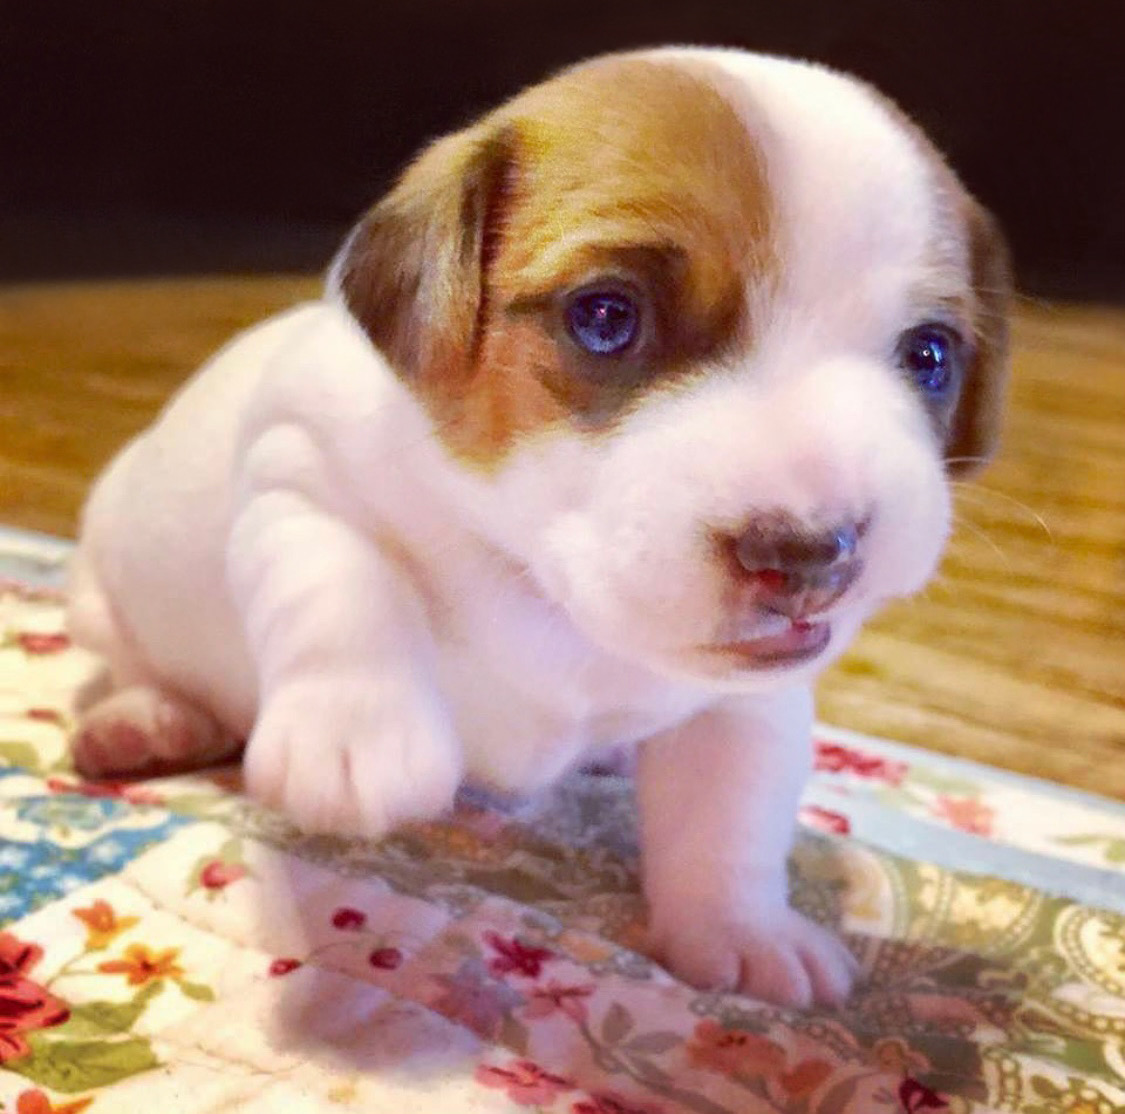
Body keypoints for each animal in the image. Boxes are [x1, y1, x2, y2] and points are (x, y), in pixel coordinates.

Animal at [63, 47, 1012, 1012]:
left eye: (928, 355)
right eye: (605, 317)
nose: (816, 551)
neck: (552, 596)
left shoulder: (747, 704)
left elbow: (732, 814)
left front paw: (741, 929)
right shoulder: (297, 473)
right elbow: (342, 591)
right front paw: (357, 736)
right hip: (104, 588)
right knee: (142, 664)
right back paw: (147, 719)